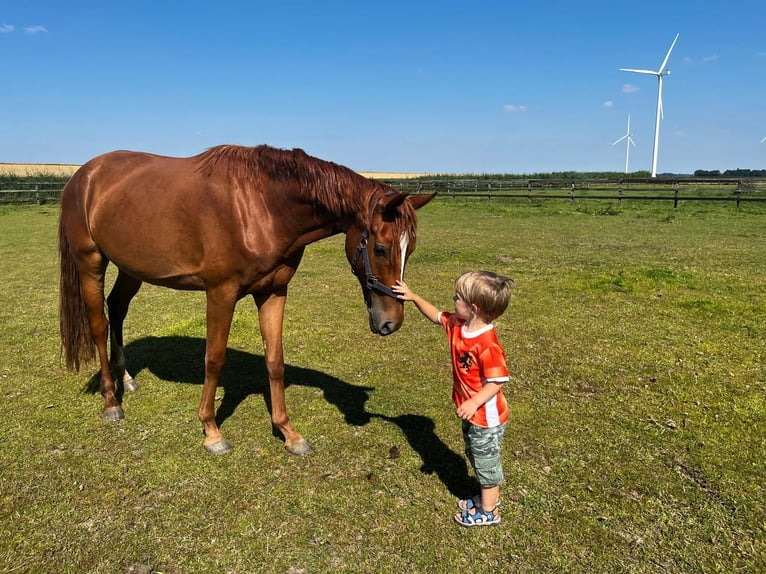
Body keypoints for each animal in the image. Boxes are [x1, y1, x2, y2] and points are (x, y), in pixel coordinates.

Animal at [58, 145, 432, 460]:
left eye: (410, 249)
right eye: (380, 248)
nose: (390, 322)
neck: (261, 207)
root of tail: (83, 176)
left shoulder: (273, 292)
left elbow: (275, 361)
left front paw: (289, 433)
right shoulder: (220, 293)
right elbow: (214, 359)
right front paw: (211, 431)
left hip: (131, 267)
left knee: (117, 308)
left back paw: (127, 379)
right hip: (91, 263)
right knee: (99, 324)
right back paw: (111, 401)